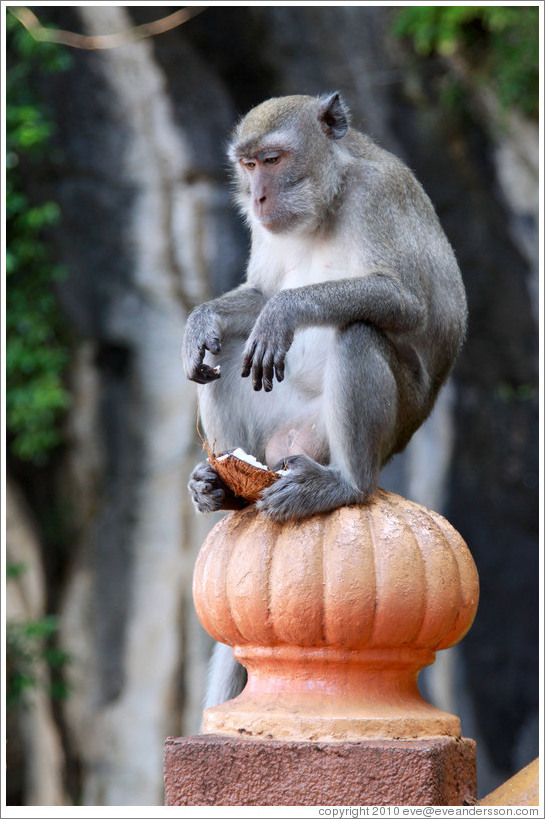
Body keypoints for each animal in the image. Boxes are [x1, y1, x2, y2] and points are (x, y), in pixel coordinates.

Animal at [182, 89, 464, 524]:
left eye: (272, 159)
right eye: (249, 165)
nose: (257, 197)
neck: (329, 198)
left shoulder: (378, 192)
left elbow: (408, 302)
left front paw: (284, 311)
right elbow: (260, 293)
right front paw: (201, 320)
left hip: (377, 429)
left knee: (358, 333)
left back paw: (347, 484)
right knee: (223, 346)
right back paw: (224, 487)